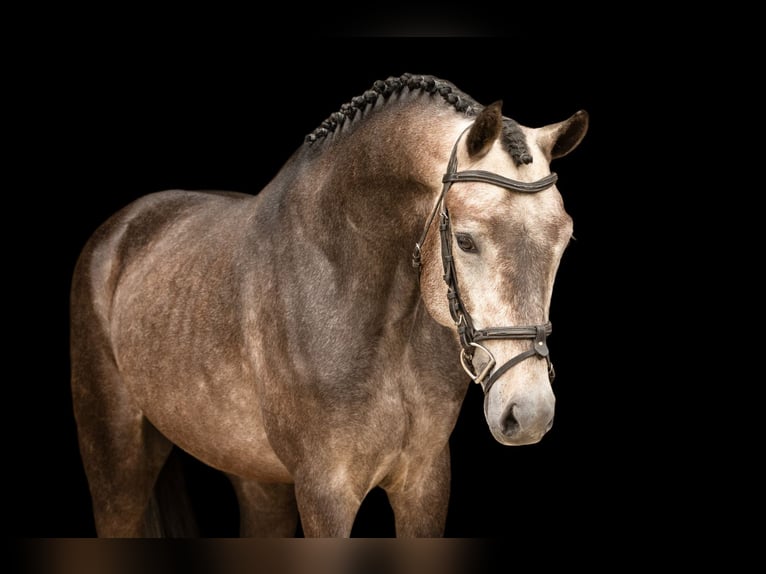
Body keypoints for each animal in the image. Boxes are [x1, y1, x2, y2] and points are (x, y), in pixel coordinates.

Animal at [70, 73, 588, 537]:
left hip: (255, 479)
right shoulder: (325, 491)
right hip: (115, 467)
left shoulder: (424, 482)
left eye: (564, 240)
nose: (530, 413)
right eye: (465, 240)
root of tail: (122, 228)